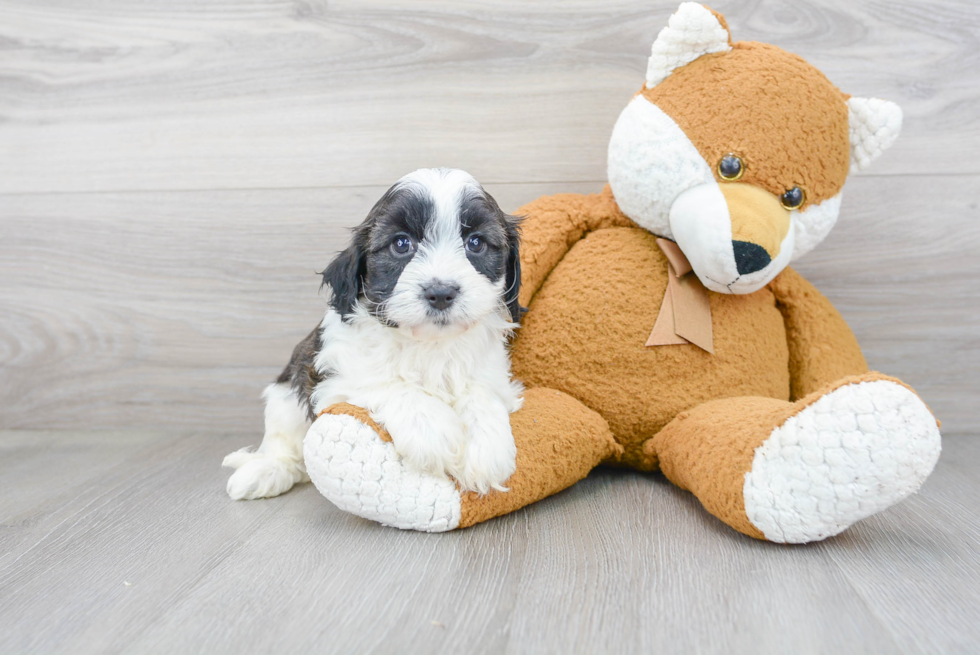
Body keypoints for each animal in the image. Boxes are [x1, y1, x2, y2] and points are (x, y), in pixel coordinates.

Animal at [225, 170, 524, 502]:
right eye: (401, 244)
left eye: (476, 243)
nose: (440, 293)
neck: (427, 343)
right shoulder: (332, 374)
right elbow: (385, 383)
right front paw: (432, 429)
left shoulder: (492, 373)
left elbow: (481, 393)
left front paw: (486, 449)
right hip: (285, 398)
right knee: (285, 446)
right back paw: (265, 471)